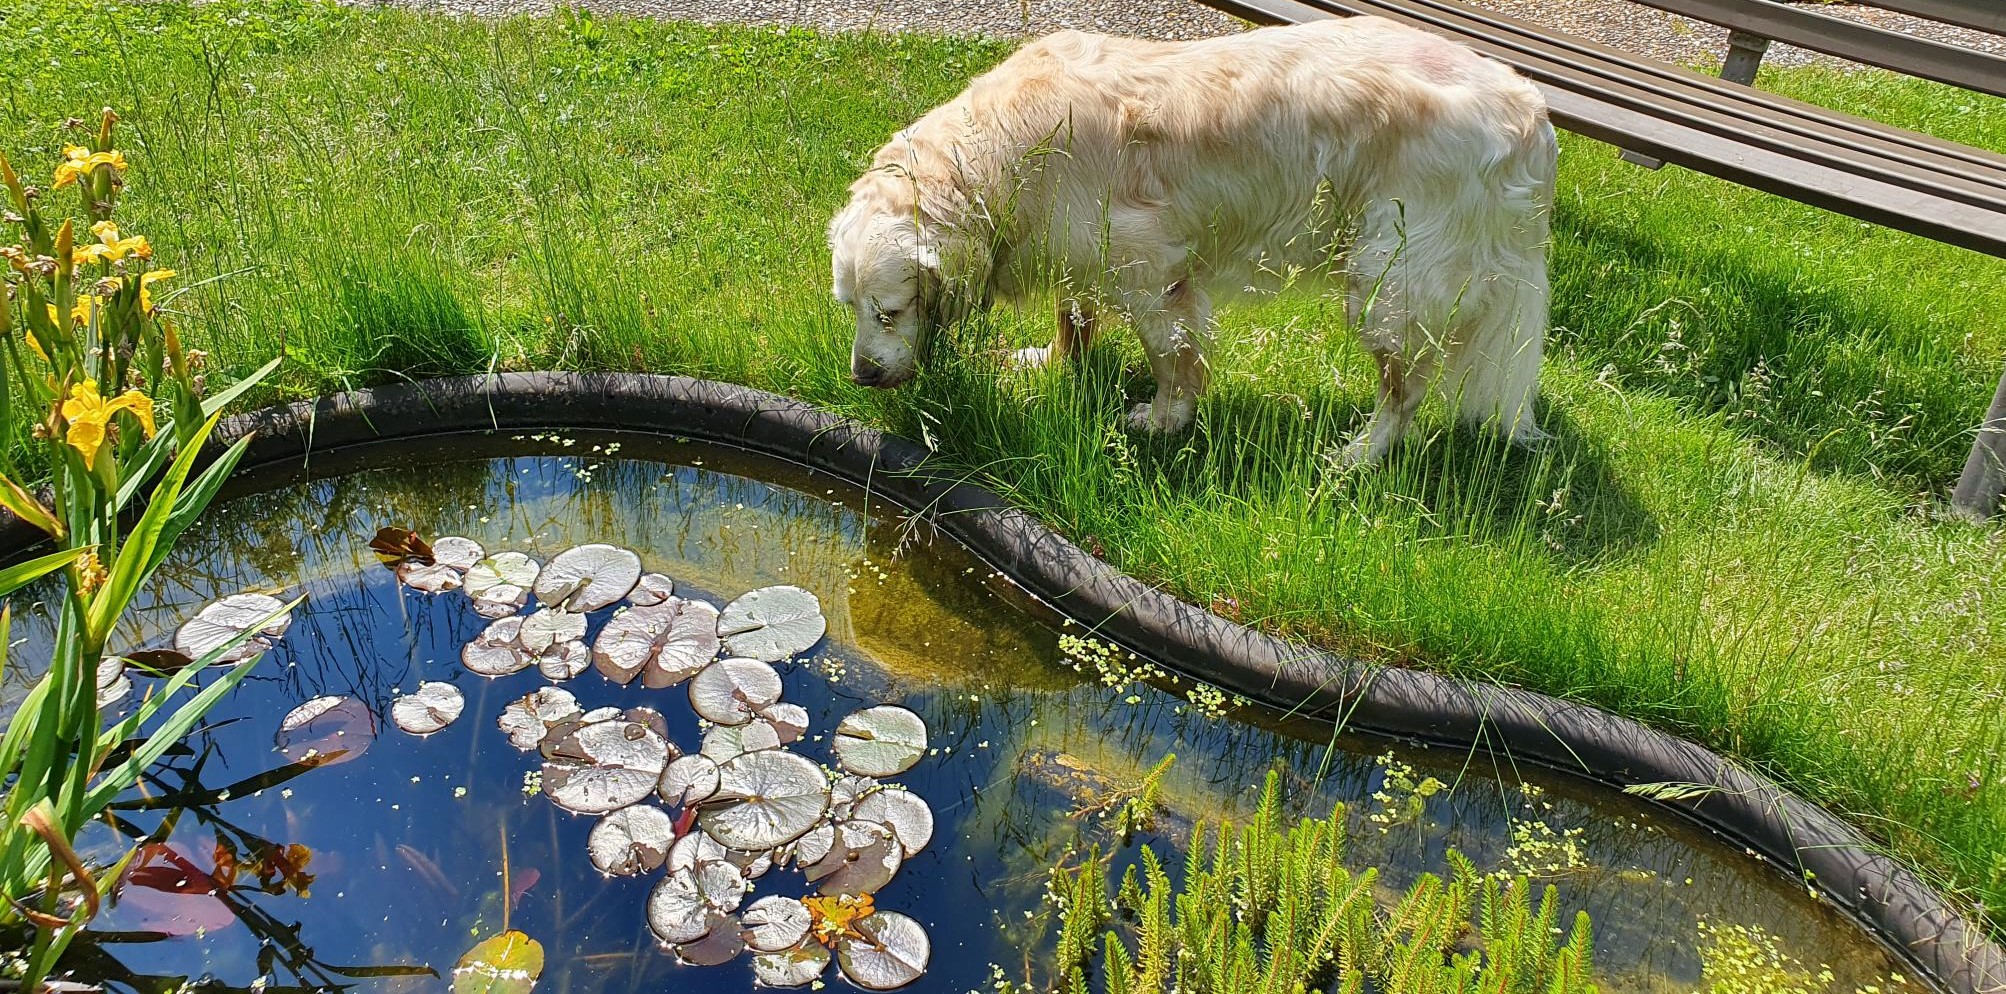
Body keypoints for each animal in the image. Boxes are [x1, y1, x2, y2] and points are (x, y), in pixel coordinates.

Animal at [822, 18, 1556, 462]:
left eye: (890, 310)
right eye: (849, 308)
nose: (862, 375)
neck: (999, 153)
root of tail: (1531, 114)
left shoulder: (1149, 268)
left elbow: (1172, 357)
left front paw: (1164, 420)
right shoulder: (1074, 247)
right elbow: (1073, 317)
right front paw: (1053, 363)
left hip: (1389, 280)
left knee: (1405, 392)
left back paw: (1356, 457)